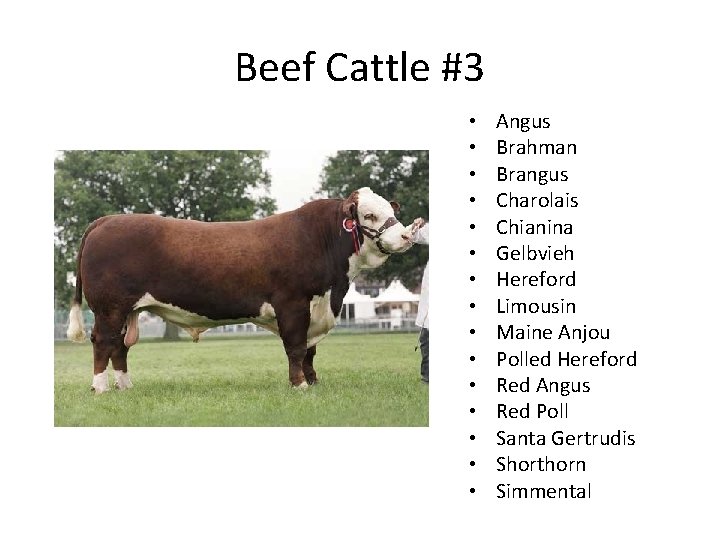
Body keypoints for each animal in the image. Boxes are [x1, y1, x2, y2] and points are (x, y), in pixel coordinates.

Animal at [66, 187, 420, 393]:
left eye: (393, 212)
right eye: (369, 215)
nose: (406, 235)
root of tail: (106, 220)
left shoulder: (316, 306)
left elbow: (310, 350)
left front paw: (313, 381)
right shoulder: (293, 304)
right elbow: (296, 347)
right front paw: (300, 386)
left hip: (128, 309)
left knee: (120, 347)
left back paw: (125, 386)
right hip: (109, 307)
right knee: (104, 343)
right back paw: (100, 388)